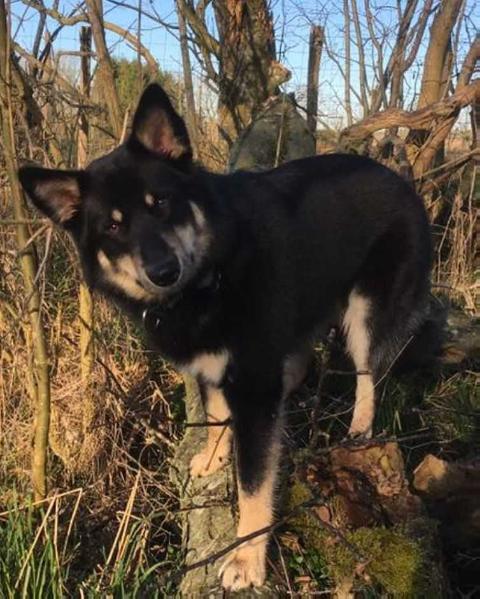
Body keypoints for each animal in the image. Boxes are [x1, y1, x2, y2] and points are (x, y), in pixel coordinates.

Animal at [17, 83, 432, 592]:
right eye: (113, 225)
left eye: (162, 203)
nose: (163, 271)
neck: (207, 278)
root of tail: (402, 181)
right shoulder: (212, 365)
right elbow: (216, 416)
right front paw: (213, 459)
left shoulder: (253, 388)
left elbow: (254, 487)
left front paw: (246, 561)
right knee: (300, 362)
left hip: (365, 310)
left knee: (368, 377)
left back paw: (358, 431)